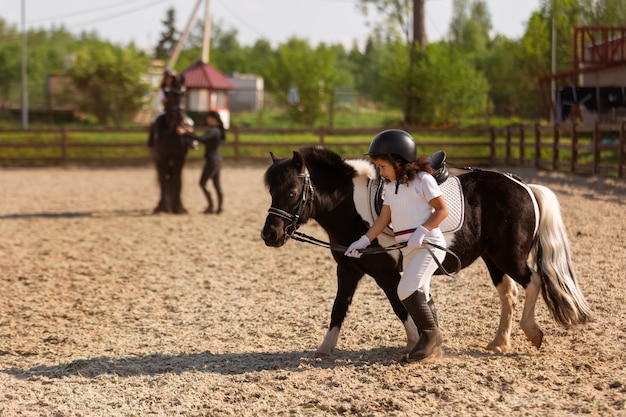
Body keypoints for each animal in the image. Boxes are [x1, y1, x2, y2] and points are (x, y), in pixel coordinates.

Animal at [146, 72, 193, 213]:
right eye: (170, 94)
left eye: (184, 93)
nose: (178, 114)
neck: (172, 131)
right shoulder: (162, 159)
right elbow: (163, 180)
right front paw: (162, 207)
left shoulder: (180, 159)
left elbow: (178, 180)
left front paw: (179, 208)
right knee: (163, 178)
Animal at [260, 146, 588, 358]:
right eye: (272, 192)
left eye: (292, 192)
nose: (269, 234)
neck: (351, 206)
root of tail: (523, 185)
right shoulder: (349, 269)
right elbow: (339, 307)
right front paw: (325, 348)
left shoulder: (386, 273)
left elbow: (400, 304)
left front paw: (417, 343)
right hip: (493, 258)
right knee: (509, 293)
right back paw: (499, 342)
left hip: (509, 256)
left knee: (533, 282)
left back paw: (531, 332)